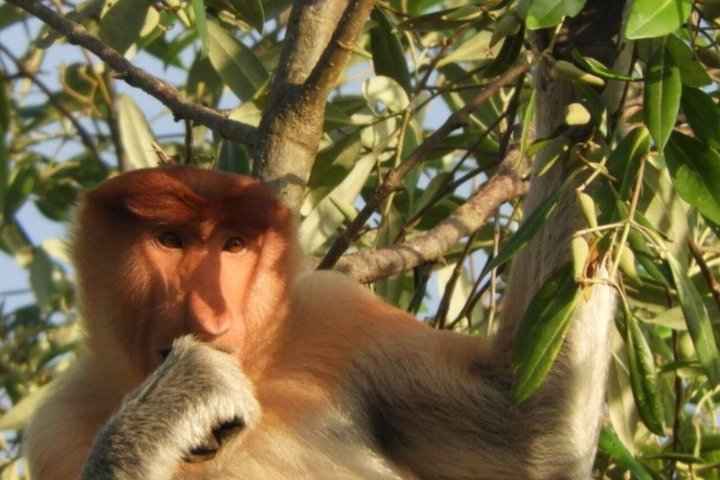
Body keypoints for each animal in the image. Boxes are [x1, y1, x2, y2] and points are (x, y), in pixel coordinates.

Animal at [24, 165, 614, 480]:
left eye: (234, 245)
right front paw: (185, 395)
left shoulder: (337, 316)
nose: (212, 315)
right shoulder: (56, 429)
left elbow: (533, 432)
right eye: (170, 240)